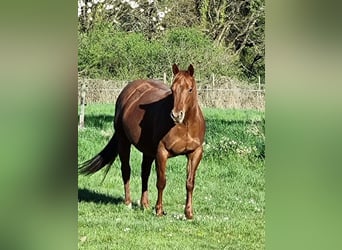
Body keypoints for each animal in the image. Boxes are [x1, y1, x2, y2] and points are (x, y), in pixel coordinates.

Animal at [79, 64, 204, 219]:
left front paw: (189, 213)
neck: (185, 125)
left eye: (190, 89)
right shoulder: (162, 152)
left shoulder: (195, 153)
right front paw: (159, 210)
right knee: (126, 170)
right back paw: (128, 203)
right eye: (172, 89)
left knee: (145, 173)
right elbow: (161, 182)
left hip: (148, 150)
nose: (176, 115)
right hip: (124, 141)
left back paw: (145, 204)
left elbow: (190, 183)